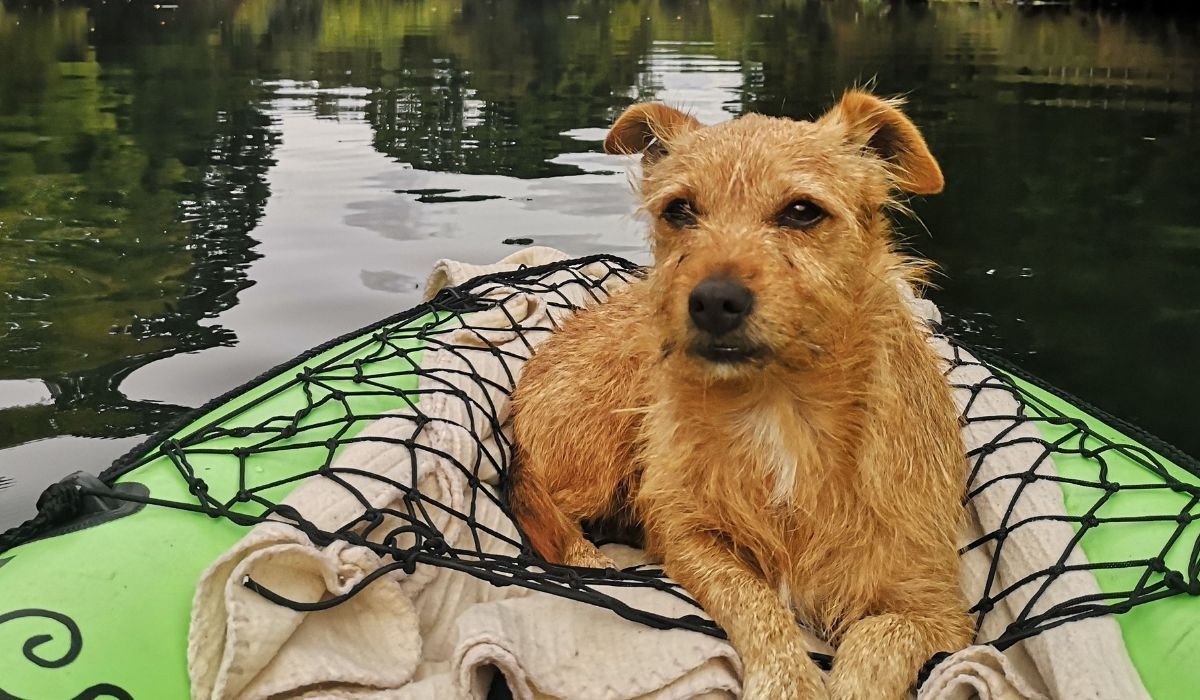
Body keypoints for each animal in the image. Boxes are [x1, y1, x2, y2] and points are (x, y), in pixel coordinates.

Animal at [506, 90, 974, 696]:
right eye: (679, 209)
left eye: (802, 211)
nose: (712, 301)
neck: (779, 407)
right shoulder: (685, 532)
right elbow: (751, 597)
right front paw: (788, 679)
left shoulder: (939, 610)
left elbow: (878, 639)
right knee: (534, 495)